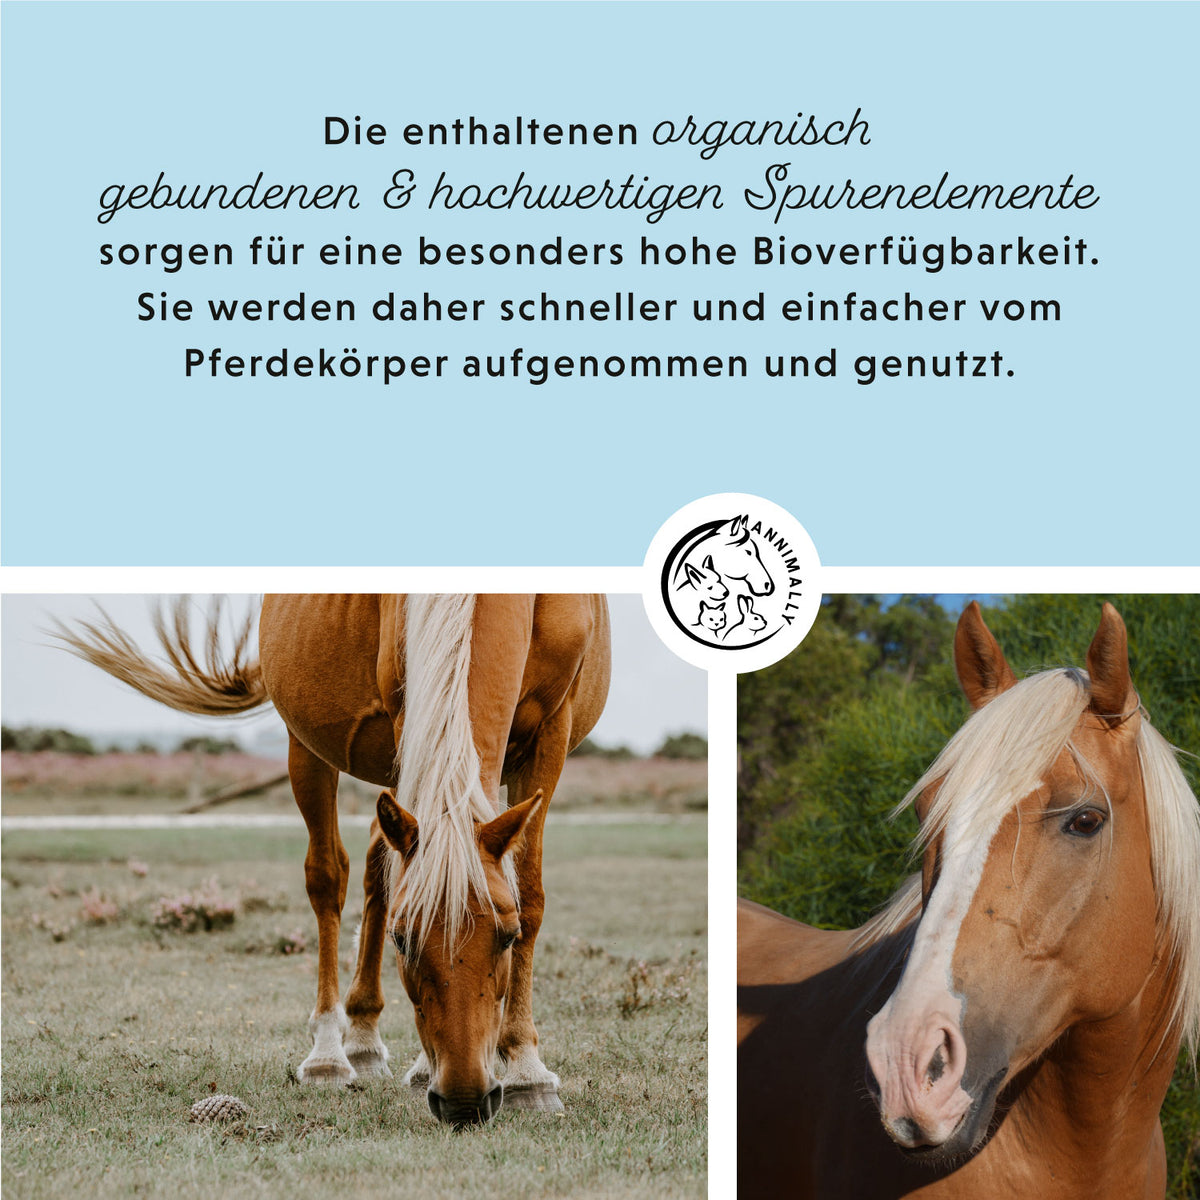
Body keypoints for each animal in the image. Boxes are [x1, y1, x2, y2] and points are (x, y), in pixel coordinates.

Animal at [57, 594, 611, 1126]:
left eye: (509, 936)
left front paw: (527, 1072)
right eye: (402, 940)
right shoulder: (405, 714)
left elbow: (530, 892)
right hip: (310, 746)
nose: (464, 1101)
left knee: (378, 866)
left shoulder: (551, 732)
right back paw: (335, 1051)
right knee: (332, 876)